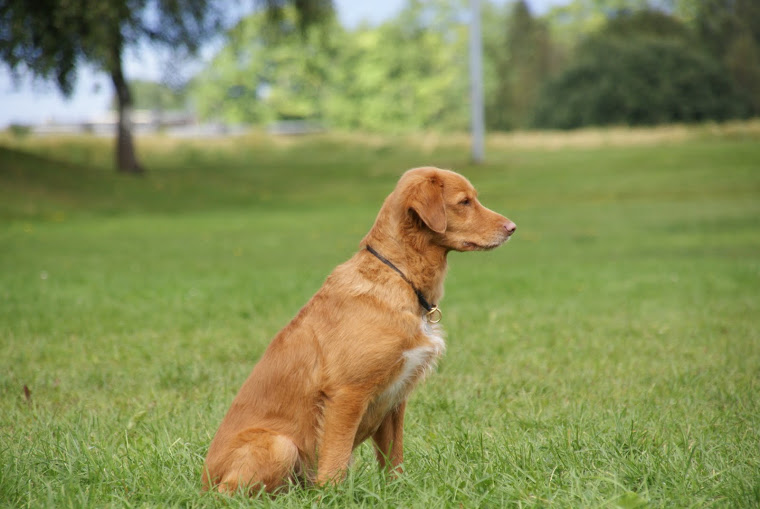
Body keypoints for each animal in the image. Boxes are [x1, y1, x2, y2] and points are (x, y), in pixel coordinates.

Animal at [202, 166, 516, 492]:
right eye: (465, 202)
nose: (512, 227)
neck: (401, 278)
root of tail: (205, 482)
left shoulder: (395, 399)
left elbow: (393, 458)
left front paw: (395, 492)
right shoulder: (347, 394)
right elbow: (335, 461)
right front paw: (331, 497)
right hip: (280, 446)